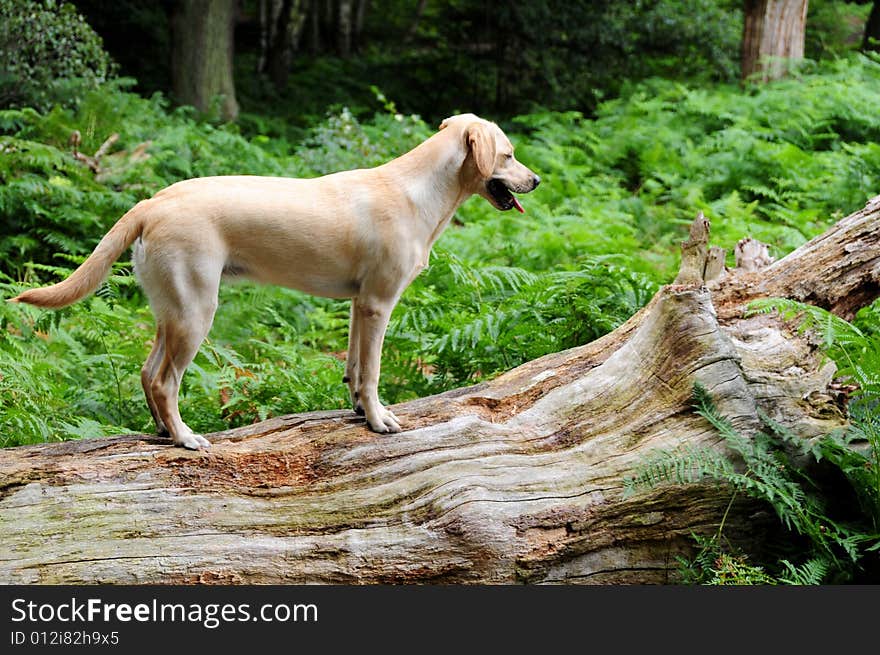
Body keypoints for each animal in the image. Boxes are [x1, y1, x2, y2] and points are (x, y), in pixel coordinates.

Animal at [10, 114, 540, 452]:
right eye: (509, 155)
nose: (535, 181)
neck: (418, 190)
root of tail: (153, 201)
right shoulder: (378, 304)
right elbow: (371, 373)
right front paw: (377, 421)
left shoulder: (358, 305)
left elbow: (353, 368)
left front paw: (356, 410)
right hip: (197, 312)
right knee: (164, 381)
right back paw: (184, 438)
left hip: (172, 311)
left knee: (147, 372)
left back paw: (163, 431)